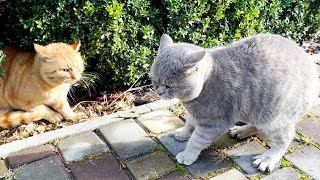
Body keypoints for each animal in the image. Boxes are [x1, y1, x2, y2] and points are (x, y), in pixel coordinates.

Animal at [151, 33, 320, 172]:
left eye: (169, 85)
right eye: (154, 80)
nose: (159, 92)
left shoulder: (213, 123)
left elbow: (196, 140)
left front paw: (187, 155)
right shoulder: (197, 114)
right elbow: (189, 123)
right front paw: (183, 133)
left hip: (276, 116)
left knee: (283, 140)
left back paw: (266, 159)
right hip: (255, 110)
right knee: (257, 124)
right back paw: (241, 131)